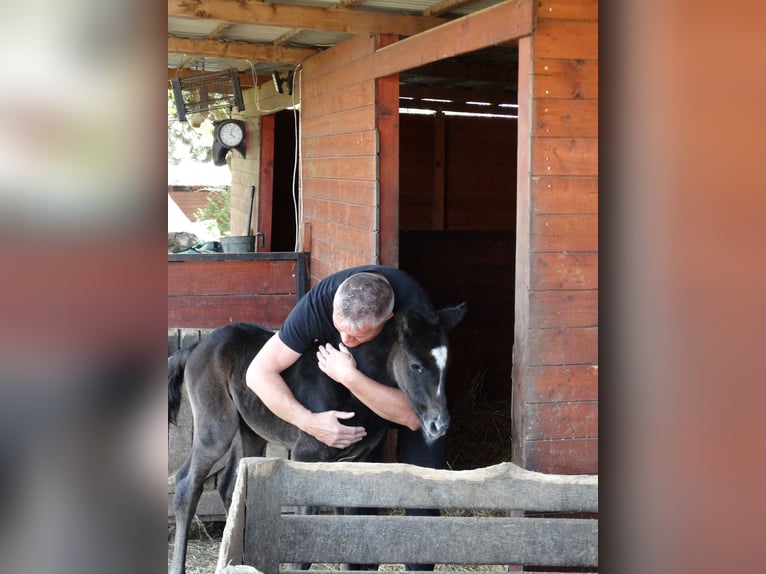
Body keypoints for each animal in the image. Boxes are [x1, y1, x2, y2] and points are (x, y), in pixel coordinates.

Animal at [168, 303, 466, 574]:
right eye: (416, 366)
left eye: (447, 365)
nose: (439, 424)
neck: (348, 388)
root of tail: (197, 346)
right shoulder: (307, 457)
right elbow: (302, 553)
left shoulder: (351, 463)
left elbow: (351, 540)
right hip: (216, 429)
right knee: (186, 484)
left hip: (250, 431)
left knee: (229, 484)